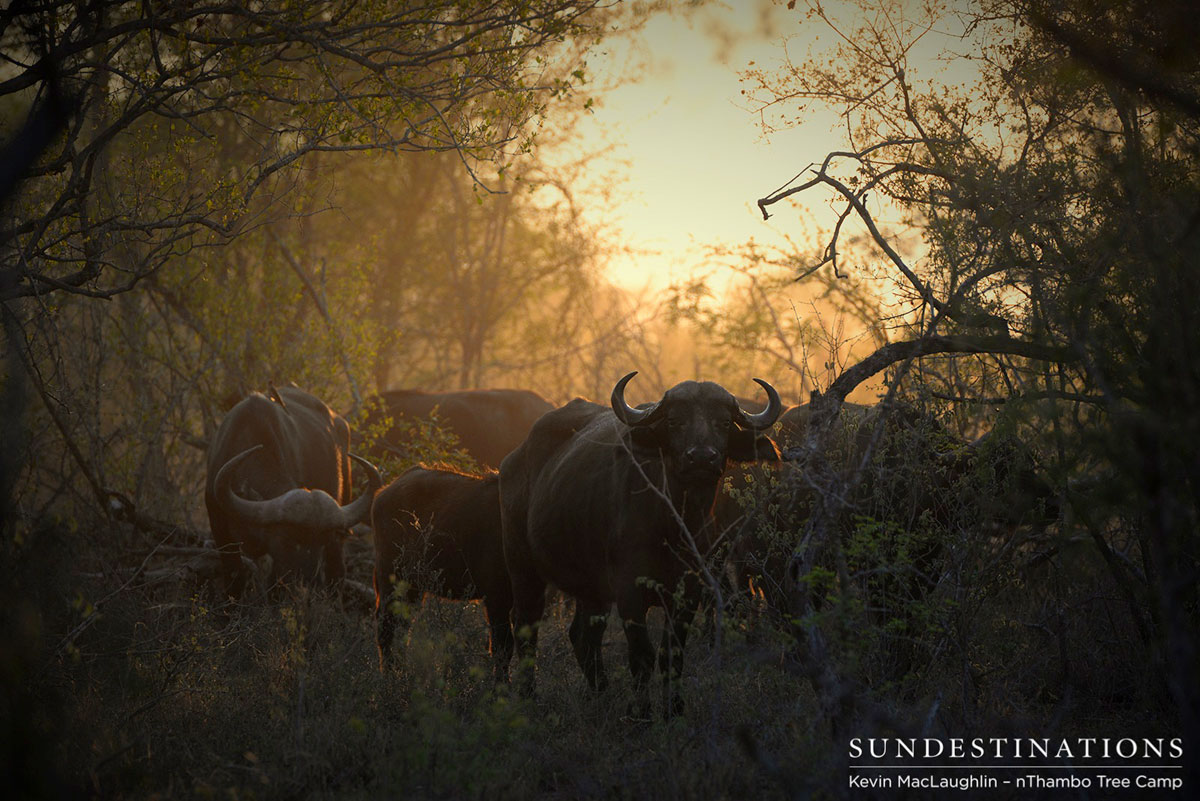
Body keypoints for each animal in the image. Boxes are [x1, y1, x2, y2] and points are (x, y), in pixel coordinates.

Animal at [206, 386, 382, 596]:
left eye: (320, 541)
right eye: (287, 539)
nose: (308, 583)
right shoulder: (220, 530)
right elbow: (235, 576)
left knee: (337, 571)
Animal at [372, 467, 512, 679]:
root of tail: (385, 491)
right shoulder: (496, 595)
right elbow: (502, 647)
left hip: (413, 588)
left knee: (403, 627)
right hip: (392, 578)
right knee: (386, 627)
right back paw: (390, 676)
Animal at [499, 372, 782, 715]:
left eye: (724, 422)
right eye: (674, 421)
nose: (702, 457)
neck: (674, 524)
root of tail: (513, 460)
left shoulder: (689, 591)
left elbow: (672, 655)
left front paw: (674, 710)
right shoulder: (629, 591)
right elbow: (642, 655)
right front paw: (642, 714)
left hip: (590, 587)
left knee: (582, 636)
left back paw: (601, 692)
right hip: (522, 569)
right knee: (526, 629)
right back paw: (530, 697)